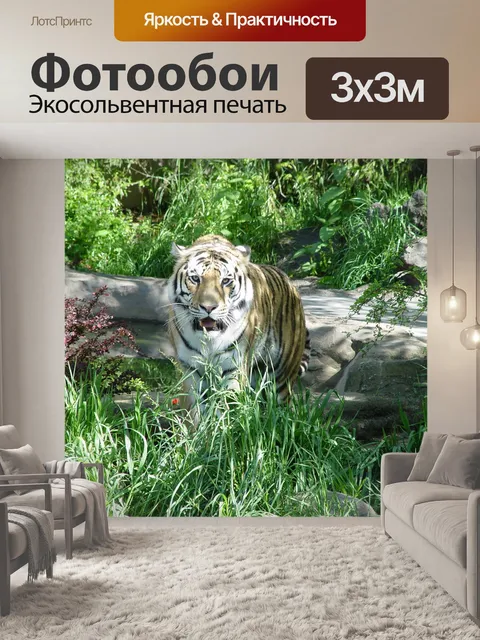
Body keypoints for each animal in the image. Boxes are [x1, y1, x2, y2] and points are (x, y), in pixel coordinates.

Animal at [167, 234, 310, 418]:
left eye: (226, 281)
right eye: (195, 278)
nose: (208, 308)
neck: (209, 340)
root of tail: (290, 283)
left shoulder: (234, 367)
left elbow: (228, 406)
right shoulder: (190, 369)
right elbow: (196, 410)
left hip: (282, 377)